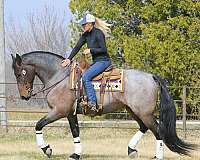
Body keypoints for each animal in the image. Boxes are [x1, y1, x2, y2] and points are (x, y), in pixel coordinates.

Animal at [10, 51, 195, 160]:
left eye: (20, 73)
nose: (24, 96)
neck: (59, 77)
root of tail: (151, 76)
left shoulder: (59, 111)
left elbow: (38, 124)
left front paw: (46, 149)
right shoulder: (70, 113)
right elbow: (75, 132)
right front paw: (76, 154)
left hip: (144, 113)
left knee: (158, 131)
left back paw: (157, 156)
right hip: (134, 111)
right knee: (144, 127)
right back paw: (131, 150)